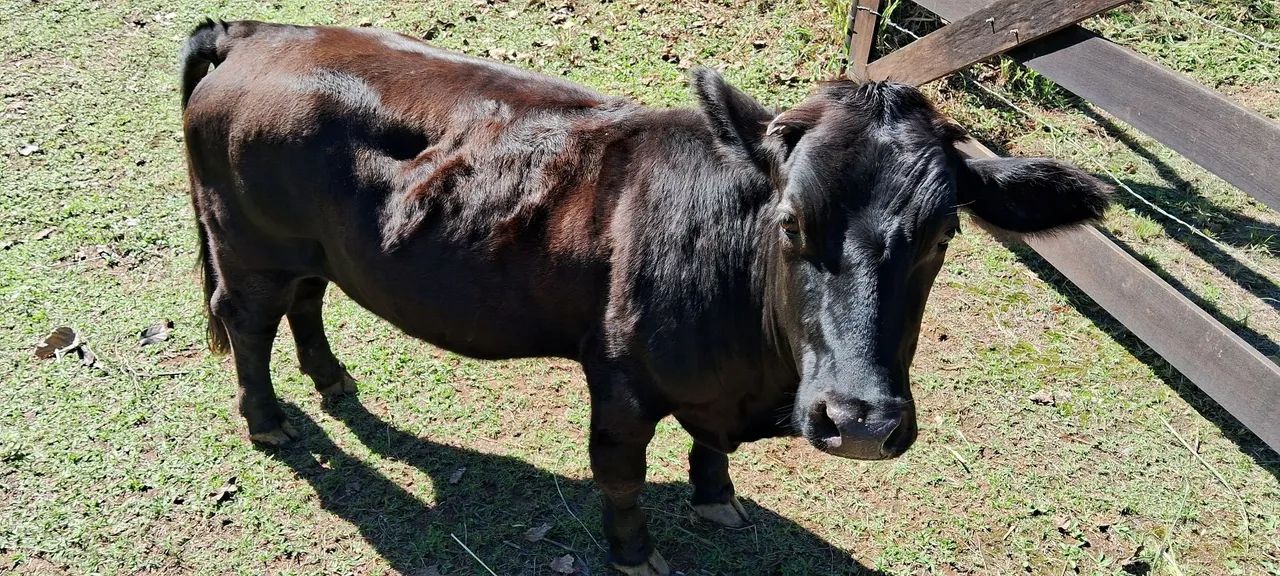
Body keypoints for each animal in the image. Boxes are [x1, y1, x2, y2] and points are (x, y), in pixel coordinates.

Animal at [180, 19, 1109, 575]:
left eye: (943, 236)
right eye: (791, 221)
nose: (859, 423)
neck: (754, 376)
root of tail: (258, 31)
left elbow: (709, 453)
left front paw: (717, 500)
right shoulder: (621, 380)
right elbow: (620, 476)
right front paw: (636, 553)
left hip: (309, 251)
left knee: (308, 303)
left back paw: (333, 380)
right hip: (248, 247)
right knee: (249, 325)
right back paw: (269, 419)